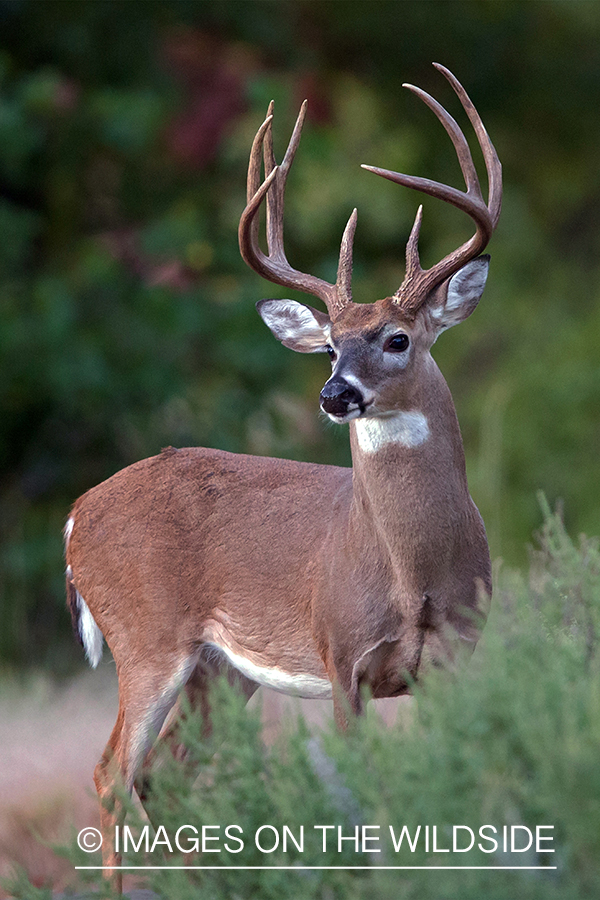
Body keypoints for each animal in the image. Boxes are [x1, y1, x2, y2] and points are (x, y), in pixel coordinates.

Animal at [63, 65, 502, 884]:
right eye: (329, 346)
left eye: (397, 338)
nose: (335, 394)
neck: (414, 576)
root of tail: (75, 514)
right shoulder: (342, 656)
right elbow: (361, 789)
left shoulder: (458, 653)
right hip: (147, 640)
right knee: (111, 772)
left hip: (219, 669)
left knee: (163, 774)